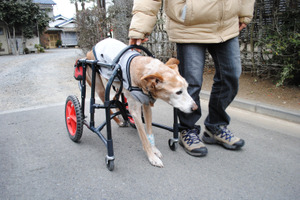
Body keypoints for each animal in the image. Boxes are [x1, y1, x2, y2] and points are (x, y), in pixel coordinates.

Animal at [84, 38, 197, 167]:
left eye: (187, 88)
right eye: (178, 92)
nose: (195, 108)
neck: (141, 71)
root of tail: (91, 49)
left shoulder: (146, 105)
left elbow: (149, 132)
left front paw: (154, 150)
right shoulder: (135, 111)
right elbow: (144, 137)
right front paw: (152, 157)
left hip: (118, 88)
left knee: (116, 100)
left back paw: (122, 116)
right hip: (100, 88)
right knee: (107, 104)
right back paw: (117, 121)